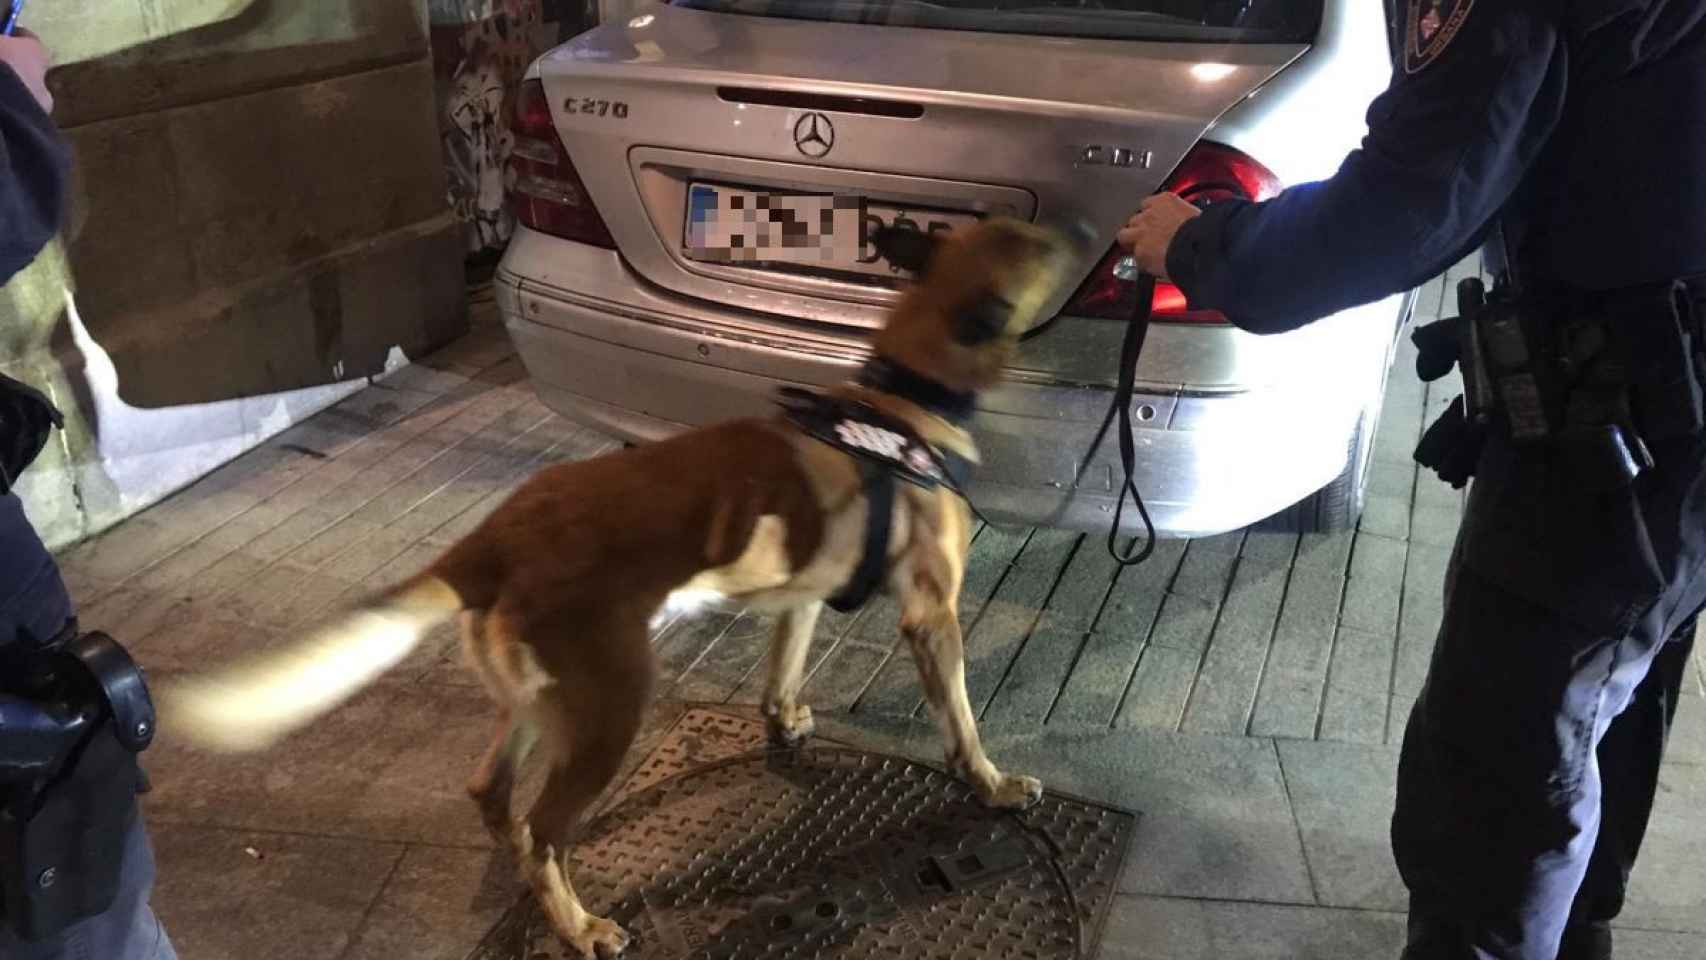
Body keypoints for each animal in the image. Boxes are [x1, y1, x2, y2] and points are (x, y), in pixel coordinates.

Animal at [153, 218, 1071, 960]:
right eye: (1035, 243)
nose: (1085, 231)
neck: (903, 398)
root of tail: (490, 540)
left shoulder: (802, 596)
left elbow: (783, 671)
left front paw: (785, 721)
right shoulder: (932, 617)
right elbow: (961, 720)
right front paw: (992, 784)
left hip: (548, 700)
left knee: (495, 795)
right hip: (610, 710)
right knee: (544, 831)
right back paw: (578, 925)